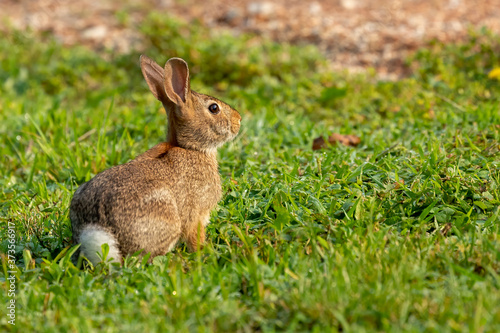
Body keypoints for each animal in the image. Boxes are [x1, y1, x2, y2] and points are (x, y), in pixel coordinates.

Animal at [69, 56, 241, 264]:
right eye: (214, 108)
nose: (239, 120)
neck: (190, 147)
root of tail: (97, 230)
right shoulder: (196, 215)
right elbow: (195, 236)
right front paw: (205, 251)